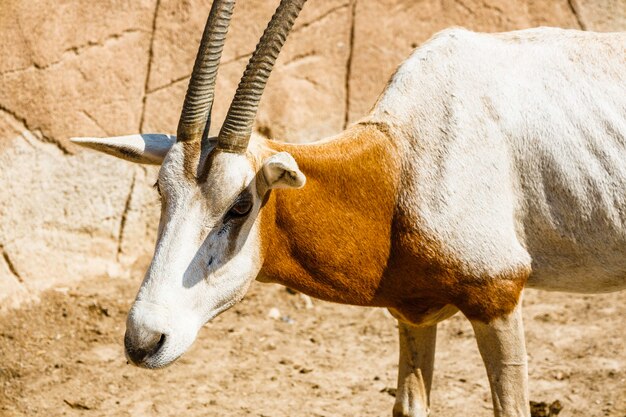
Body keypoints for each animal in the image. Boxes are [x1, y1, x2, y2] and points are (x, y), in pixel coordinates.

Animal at [70, 0, 624, 414]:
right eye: (161, 192)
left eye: (240, 205)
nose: (144, 340)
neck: (400, 164)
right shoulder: (414, 314)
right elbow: (408, 406)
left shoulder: (499, 298)